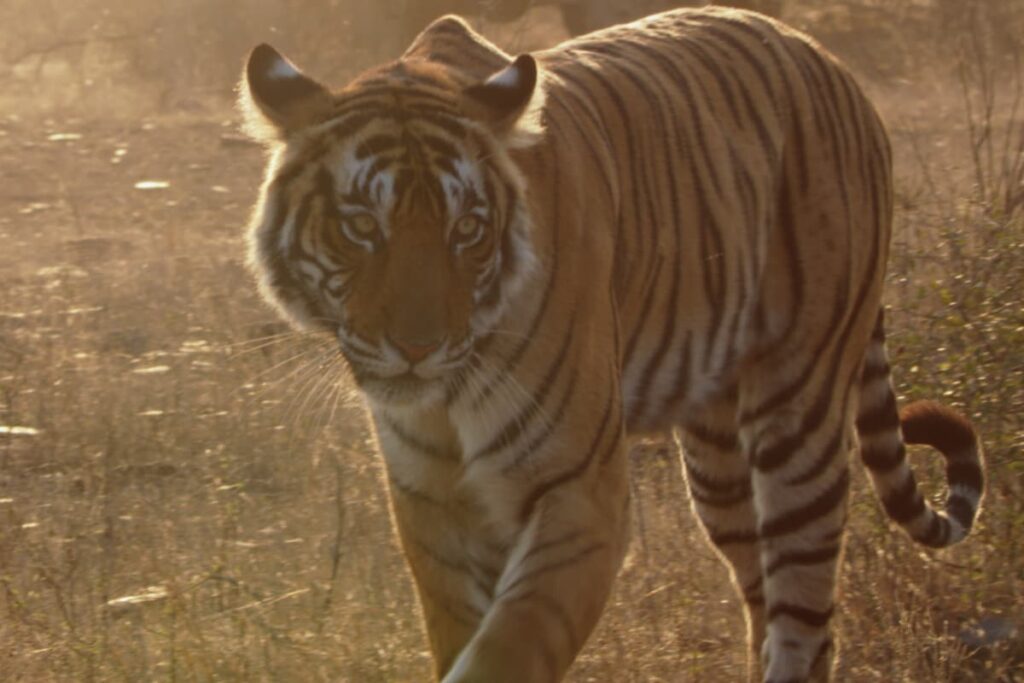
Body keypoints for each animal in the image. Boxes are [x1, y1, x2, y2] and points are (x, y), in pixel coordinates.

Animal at [239, 7, 984, 682]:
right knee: (762, 595)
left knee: (805, 611)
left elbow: (506, 649)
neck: (446, 398)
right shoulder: (431, 501)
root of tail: (825, 56)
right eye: (362, 225)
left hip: (799, 411)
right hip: (717, 459)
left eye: (467, 229)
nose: (418, 347)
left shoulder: (580, 492)